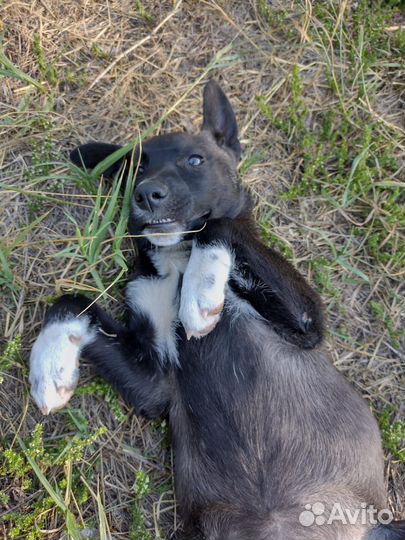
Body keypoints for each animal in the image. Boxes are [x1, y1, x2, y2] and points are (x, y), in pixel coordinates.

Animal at [29, 81, 404, 540]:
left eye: (195, 160)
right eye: (136, 168)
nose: (146, 194)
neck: (178, 257)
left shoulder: (307, 323)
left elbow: (219, 225)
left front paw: (202, 287)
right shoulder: (155, 383)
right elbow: (70, 301)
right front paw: (49, 368)